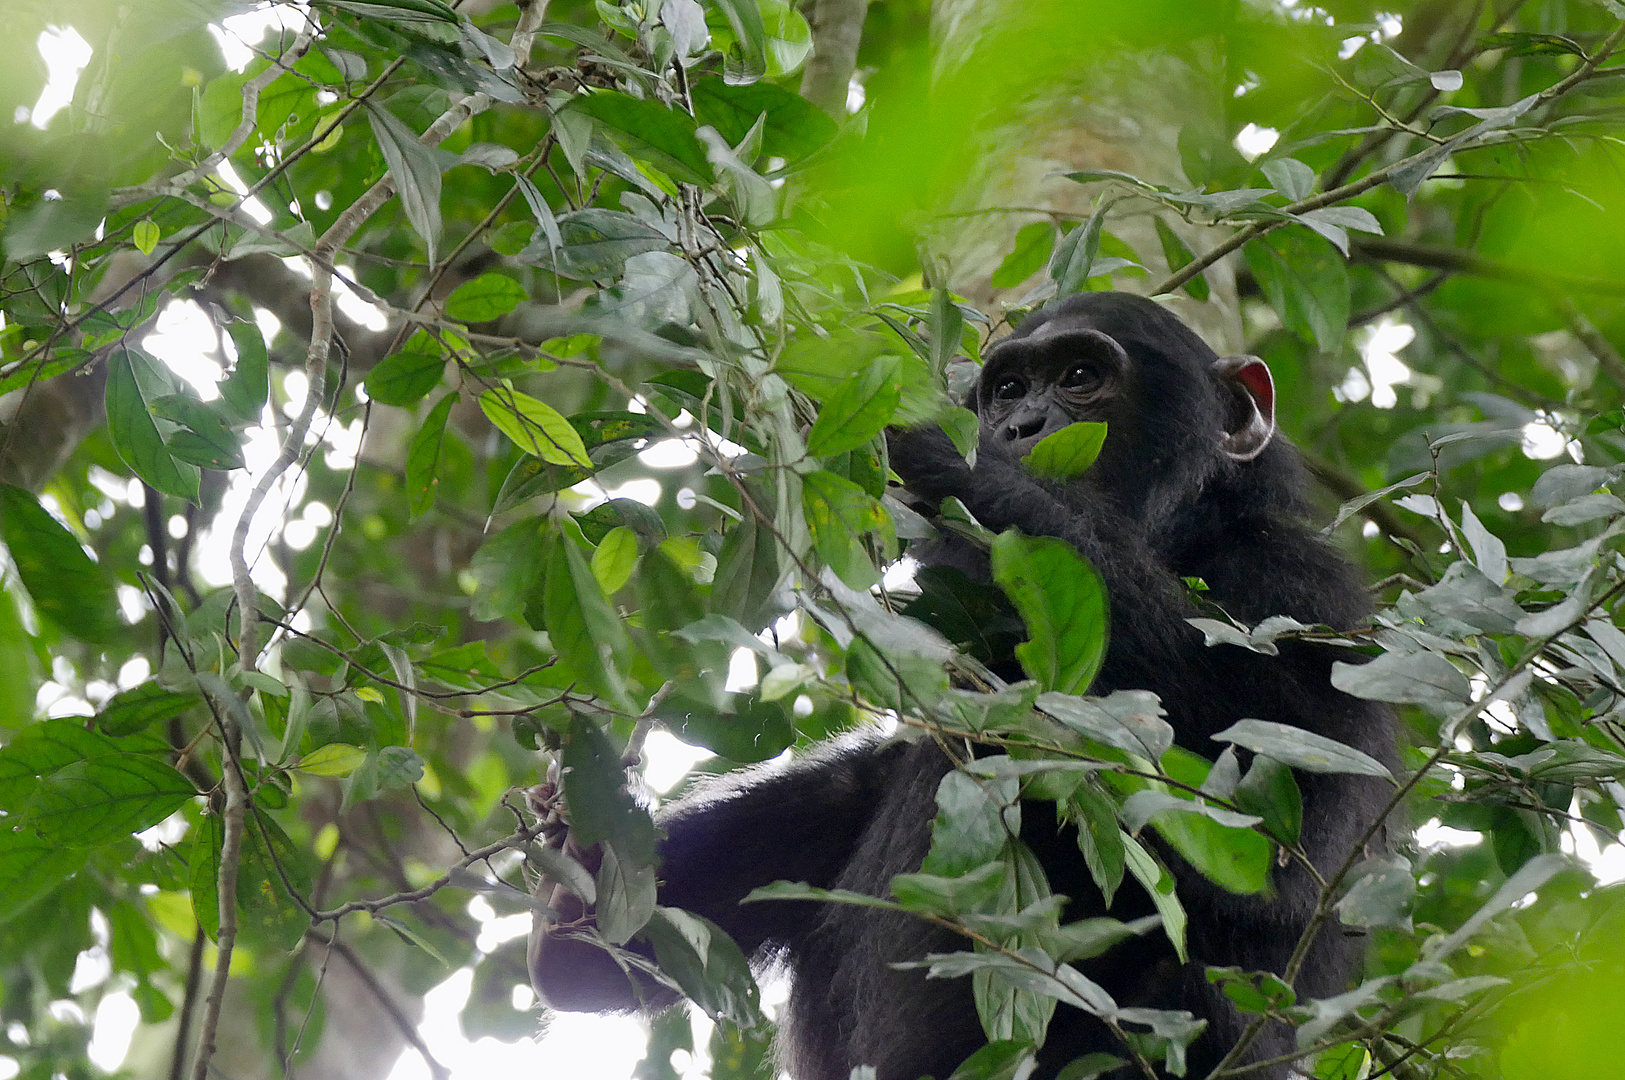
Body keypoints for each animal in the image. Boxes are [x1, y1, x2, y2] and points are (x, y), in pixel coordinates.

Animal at [533, 289, 1397, 1078]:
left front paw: (962, 464)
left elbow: (1276, 823)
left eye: (1080, 377)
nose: (1018, 428)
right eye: (1008, 388)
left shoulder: (1304, 597)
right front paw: (590, 845)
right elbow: (612, 953)